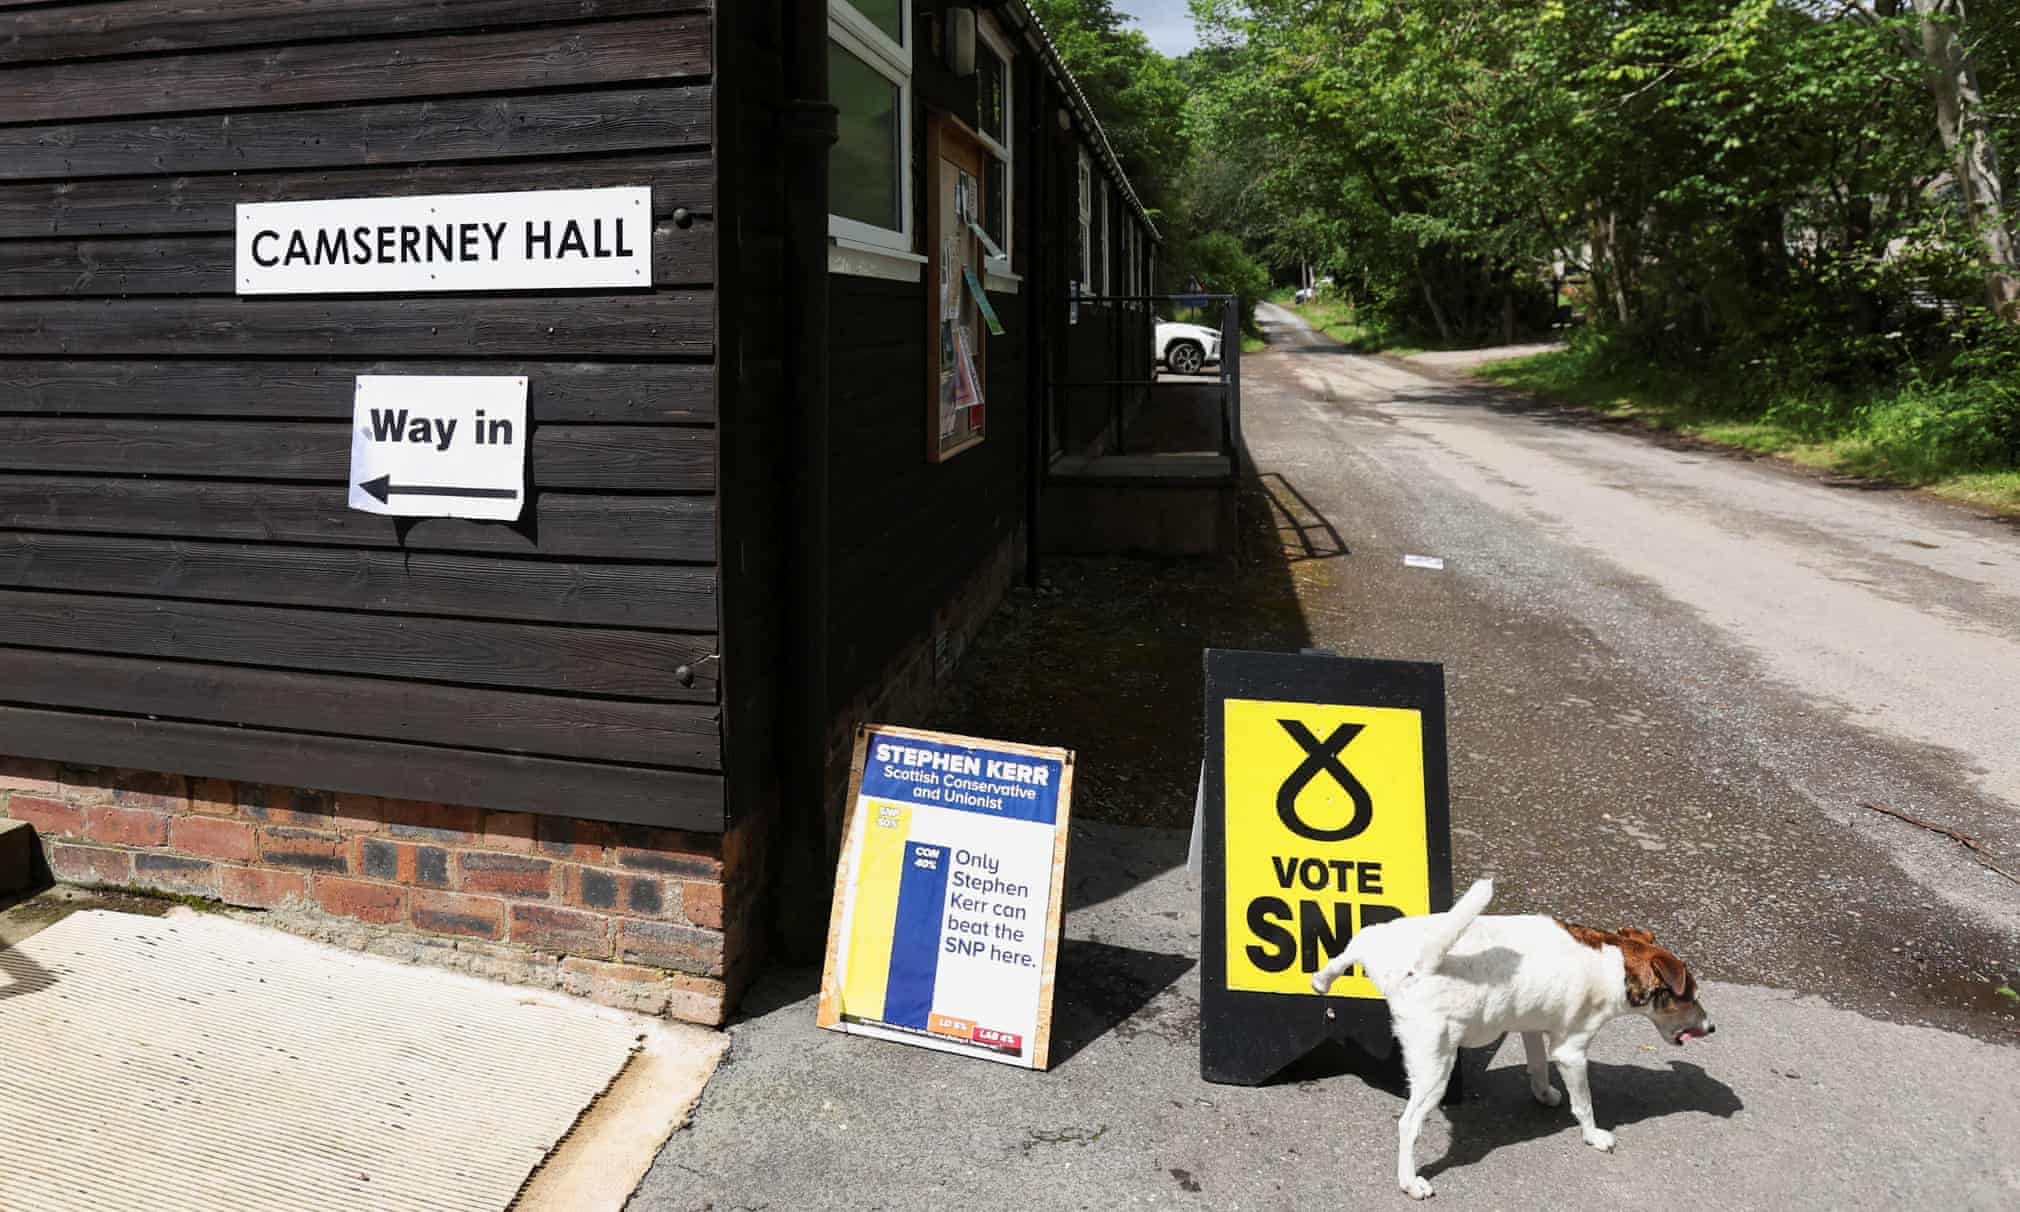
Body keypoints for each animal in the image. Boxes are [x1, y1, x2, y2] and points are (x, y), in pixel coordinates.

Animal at [1317, 876, 1712, 1195]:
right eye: (1689, 996)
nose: (1712, 1027)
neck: (1617, 964)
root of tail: (1417, 967)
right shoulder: (1571, 1051)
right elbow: (1584, 1103)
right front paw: (1594, 1135)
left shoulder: (1533, 1028)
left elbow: (1537, 1067)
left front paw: (1544, 1094)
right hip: (1435, 1068)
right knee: (1408, 1124)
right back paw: (1409, 1182)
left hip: (1376, 940)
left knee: (1351, 946)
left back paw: (1321, 979)